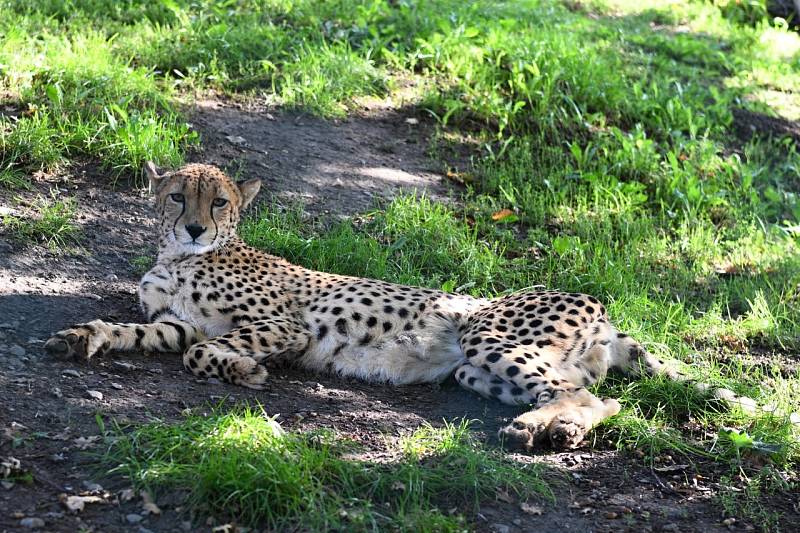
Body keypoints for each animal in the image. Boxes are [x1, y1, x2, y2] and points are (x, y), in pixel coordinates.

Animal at [43, 161, 756, 448]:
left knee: (592, 397)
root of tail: (600, 309)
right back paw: (550, 428)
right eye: (177, 198)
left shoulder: (283, 325)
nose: (194, 227)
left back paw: (545, 429)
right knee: (591, 397)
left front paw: (241, 370)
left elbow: (209, 351)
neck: (179, 258)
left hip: (489, 337)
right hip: (478, 369)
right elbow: (154, 336)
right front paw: (86, 336)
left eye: (218, 202)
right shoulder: (170, 325)